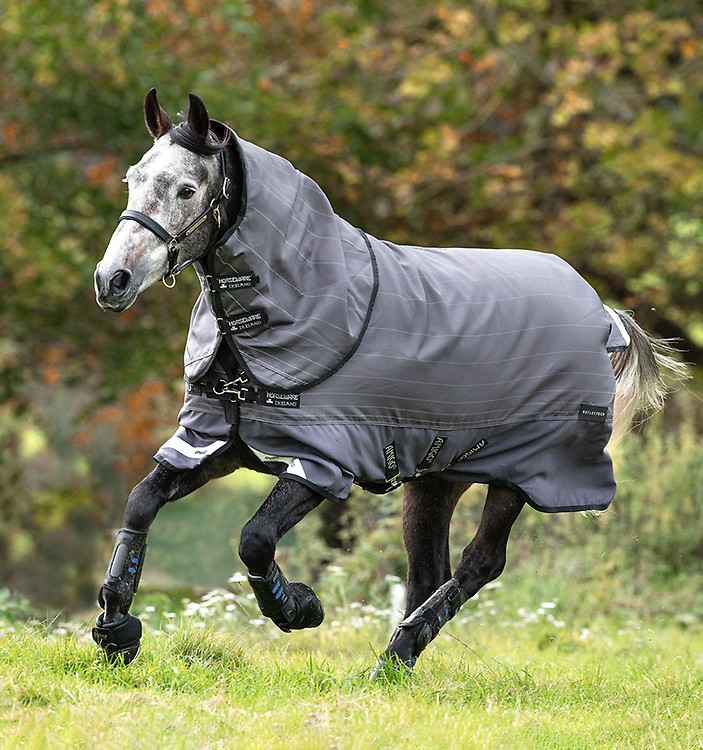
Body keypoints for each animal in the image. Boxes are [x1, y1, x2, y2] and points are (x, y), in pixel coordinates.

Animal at [92, 89, 684, 670]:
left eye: (187, 189)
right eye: (133, 179)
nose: (111, 280)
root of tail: (603, 312)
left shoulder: (322, 461)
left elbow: (255, 539)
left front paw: (299, 608)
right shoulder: (216, 442)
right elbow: (141, 502)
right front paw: (116, 627)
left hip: (523, 472)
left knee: (480, 562)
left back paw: (396, 652)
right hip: (438, 476)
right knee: (429, 571)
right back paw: (395, 664)